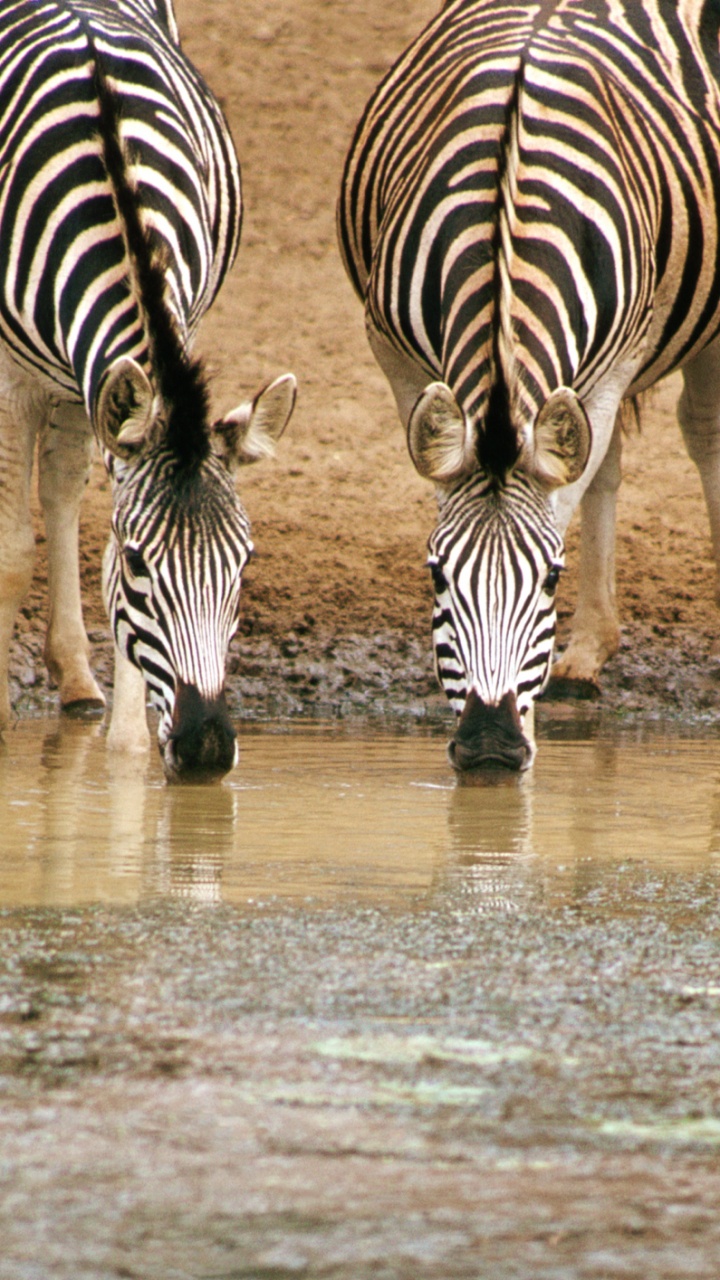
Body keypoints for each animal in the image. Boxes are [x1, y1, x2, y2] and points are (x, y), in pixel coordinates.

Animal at [0, 0, 296, 781]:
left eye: (244, 562)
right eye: (141, 564)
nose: (206, 748)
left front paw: (128, 751)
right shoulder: (13, 375)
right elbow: (11, 551)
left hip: (80, 383)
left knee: (61, 487)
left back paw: (77, 679)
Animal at [338, 0, 720, 771]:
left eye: (549, 576)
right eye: (434, 574)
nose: (489, 748)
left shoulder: (620, 355)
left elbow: (561, 502)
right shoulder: (394, 353)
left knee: (703, 431)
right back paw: (586, 653)